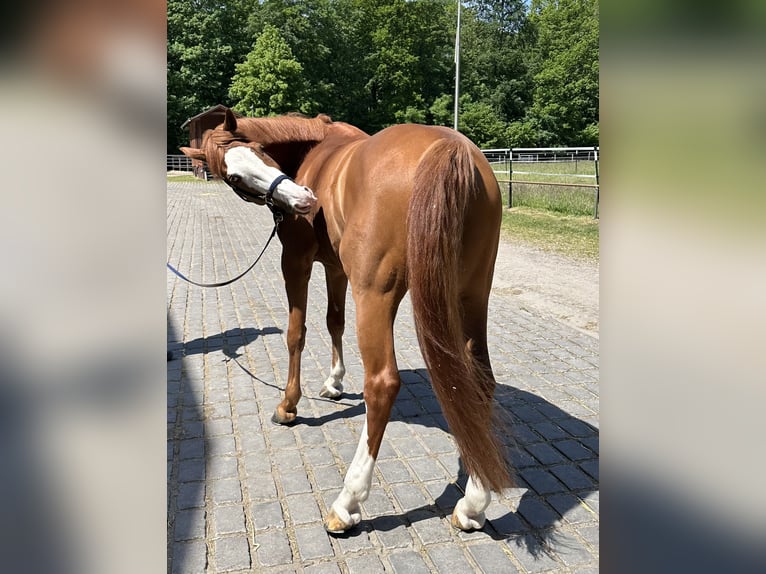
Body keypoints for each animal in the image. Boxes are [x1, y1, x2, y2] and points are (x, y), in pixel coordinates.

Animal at [182, 107, 512, 536]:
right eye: (234, 175)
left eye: (259, 151)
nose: (304, 200)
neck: (315, 150)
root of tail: (450, 148)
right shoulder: (336, 268)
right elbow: (332, 321)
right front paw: (335, 382)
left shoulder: (296, 263)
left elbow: (297, 333)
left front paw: (288, 405)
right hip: (471, 296)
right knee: (481, 381)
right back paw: (473, 503)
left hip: (375, 295)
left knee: (382, 384)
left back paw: (347, 502)